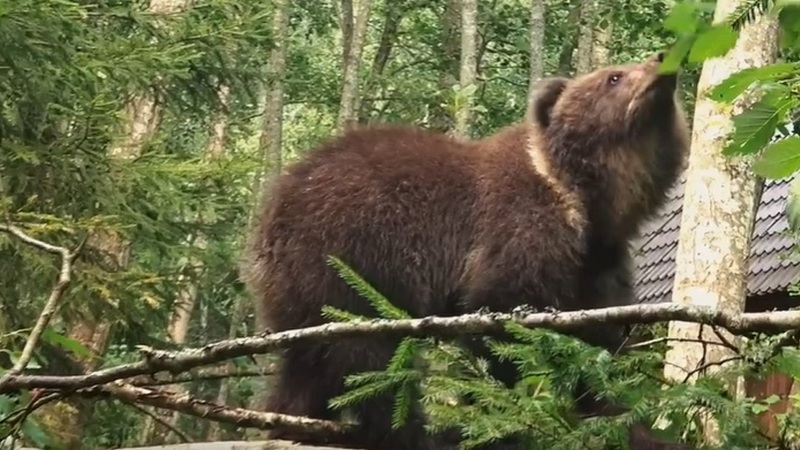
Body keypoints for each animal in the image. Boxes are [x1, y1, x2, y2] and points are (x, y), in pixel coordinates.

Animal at [244, 50, 692, 450]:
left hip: (304, 295)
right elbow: (499, 318)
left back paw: (293, 423)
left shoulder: (595, 263)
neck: (585, 199)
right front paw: (501, 419)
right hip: (348, 261)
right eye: (613, 76)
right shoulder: (520, 226)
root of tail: (270, 215)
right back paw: (416, 431)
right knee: (371, 361)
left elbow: (599, 345)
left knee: (307, 369)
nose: (661, 59)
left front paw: (634, 424)